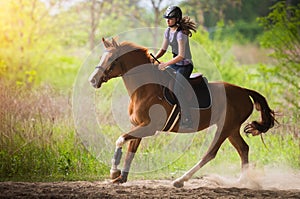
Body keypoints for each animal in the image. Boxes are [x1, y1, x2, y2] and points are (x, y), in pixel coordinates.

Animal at [87, 37, 276, 188]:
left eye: (111, 59)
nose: (93, 80)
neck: (145, 89)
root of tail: (243, 91)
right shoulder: (139, 125)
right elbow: (130, 151)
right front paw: (121, 178)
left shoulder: (150, 127)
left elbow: (120, 139)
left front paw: (114, 173)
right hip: (232, 129)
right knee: (243, 149)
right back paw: (241, 181)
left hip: (225, 127)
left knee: (210, 154)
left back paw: (181, 180)